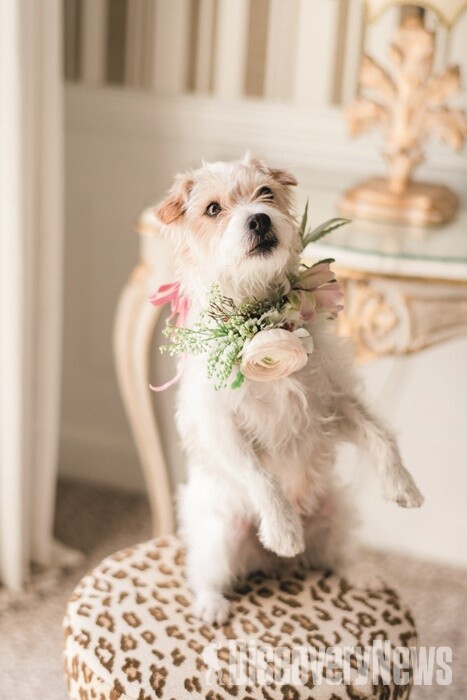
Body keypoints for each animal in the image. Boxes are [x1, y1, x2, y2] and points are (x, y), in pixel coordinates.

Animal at [156, 156, 424, 628]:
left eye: (265, 193)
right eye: (212, 209)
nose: (260, 219)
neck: (263, 316)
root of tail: (273, 567)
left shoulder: (332, 401)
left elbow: (379, 435)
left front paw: (402, 483)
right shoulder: (220, 427)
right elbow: (260, 476)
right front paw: (282, 528)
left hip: (337, 513)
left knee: (339, 555)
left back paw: (363, 574)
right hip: (221, 535)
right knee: (203, 572)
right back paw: (214, 601)